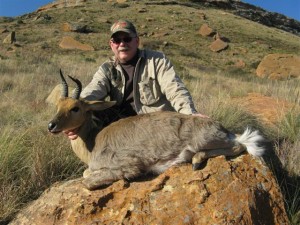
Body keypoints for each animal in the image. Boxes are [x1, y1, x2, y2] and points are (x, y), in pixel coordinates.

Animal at [47, 70, 264, 190]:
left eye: (75, 108)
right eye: (58, 105)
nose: (51, 125)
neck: (93, 142)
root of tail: (219, 125)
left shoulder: (127, 167)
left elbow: (87, 180)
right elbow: (85, 174)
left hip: (206, 140)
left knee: (239, 145)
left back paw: (196, 160)